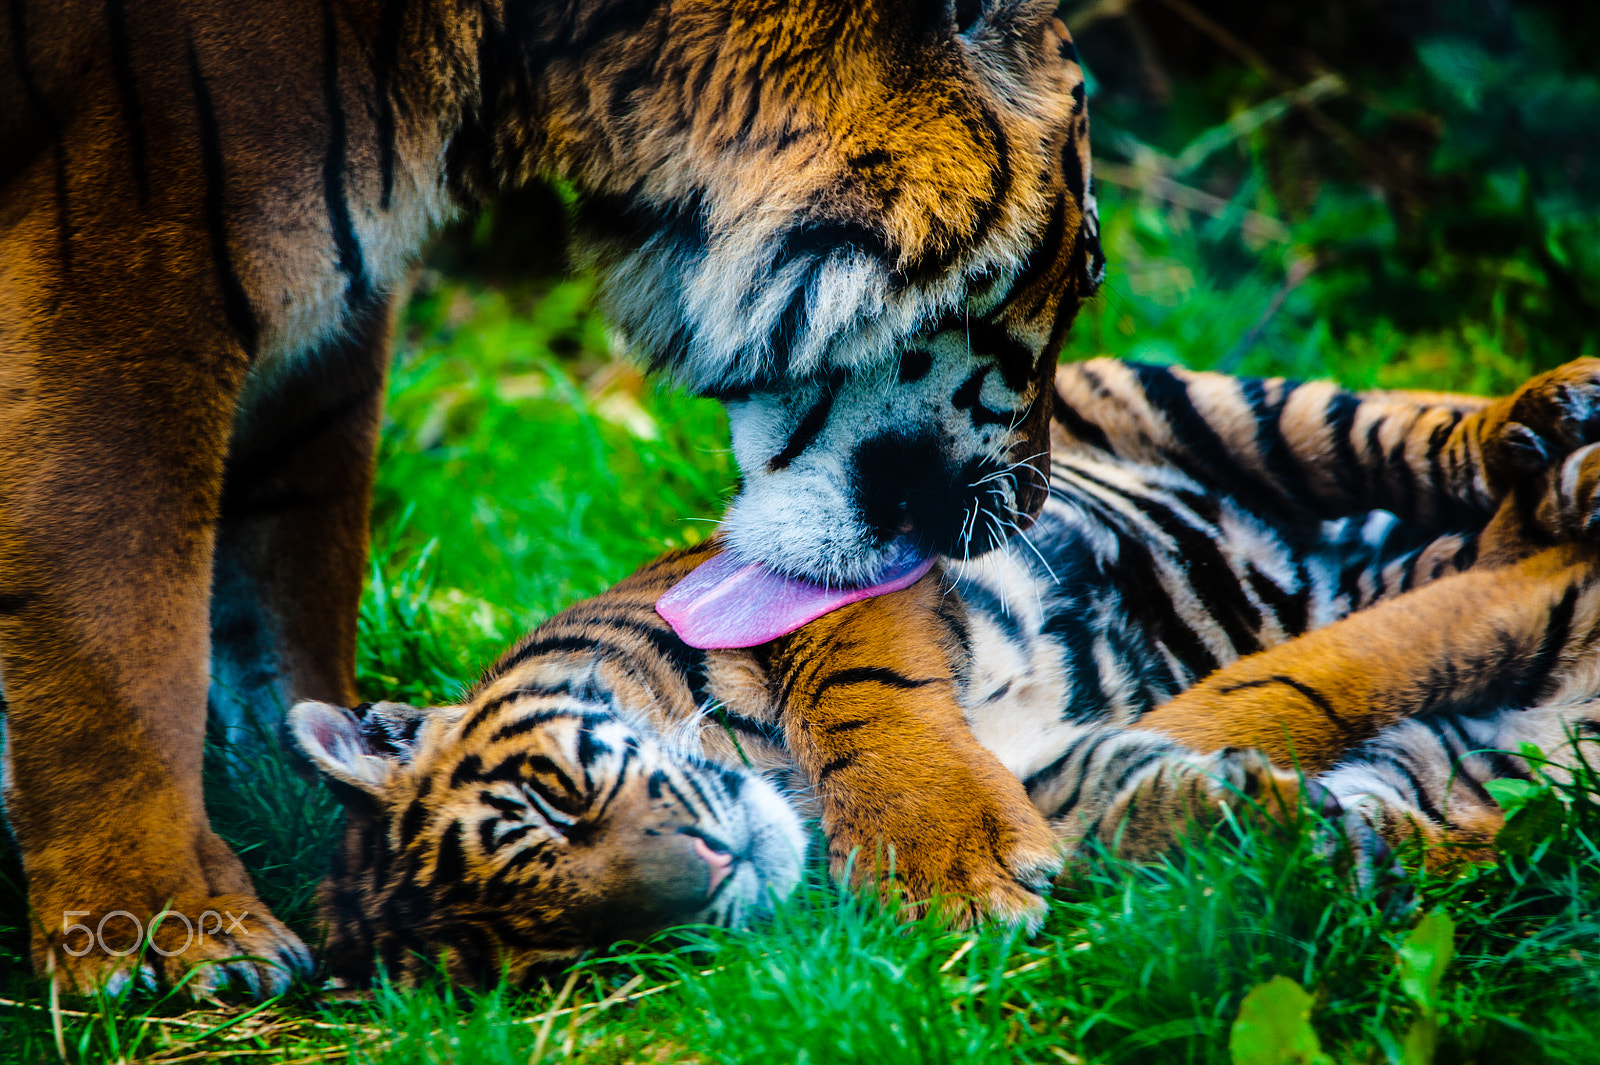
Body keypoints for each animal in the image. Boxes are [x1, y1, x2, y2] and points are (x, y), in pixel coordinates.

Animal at [0, 0, 1100, 996]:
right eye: (1087, 265)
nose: (1025, 509)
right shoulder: (125, 289)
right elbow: (120, 652)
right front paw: (164, 928)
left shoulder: (324, 331)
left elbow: (292, 574)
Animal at [288, 355, 1600, 988]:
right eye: (581, 949)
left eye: (557, 803)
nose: (704, 875)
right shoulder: (1068, 771)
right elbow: (1140, 797)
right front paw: (1262, 827)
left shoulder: (799, 578)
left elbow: (862, 699)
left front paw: (946, 871)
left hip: (1163, 402)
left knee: (1402, 430)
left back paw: (1553, 421)